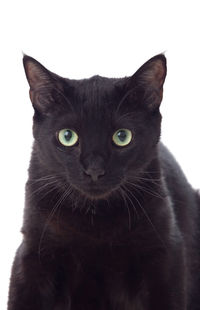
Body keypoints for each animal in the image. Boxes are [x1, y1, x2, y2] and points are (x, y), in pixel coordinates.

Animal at [7, 54, 200, 308]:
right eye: (67, 136)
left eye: (122, 137)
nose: (94, 170)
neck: (94, 218)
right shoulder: (33, 255)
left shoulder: (165, 255)